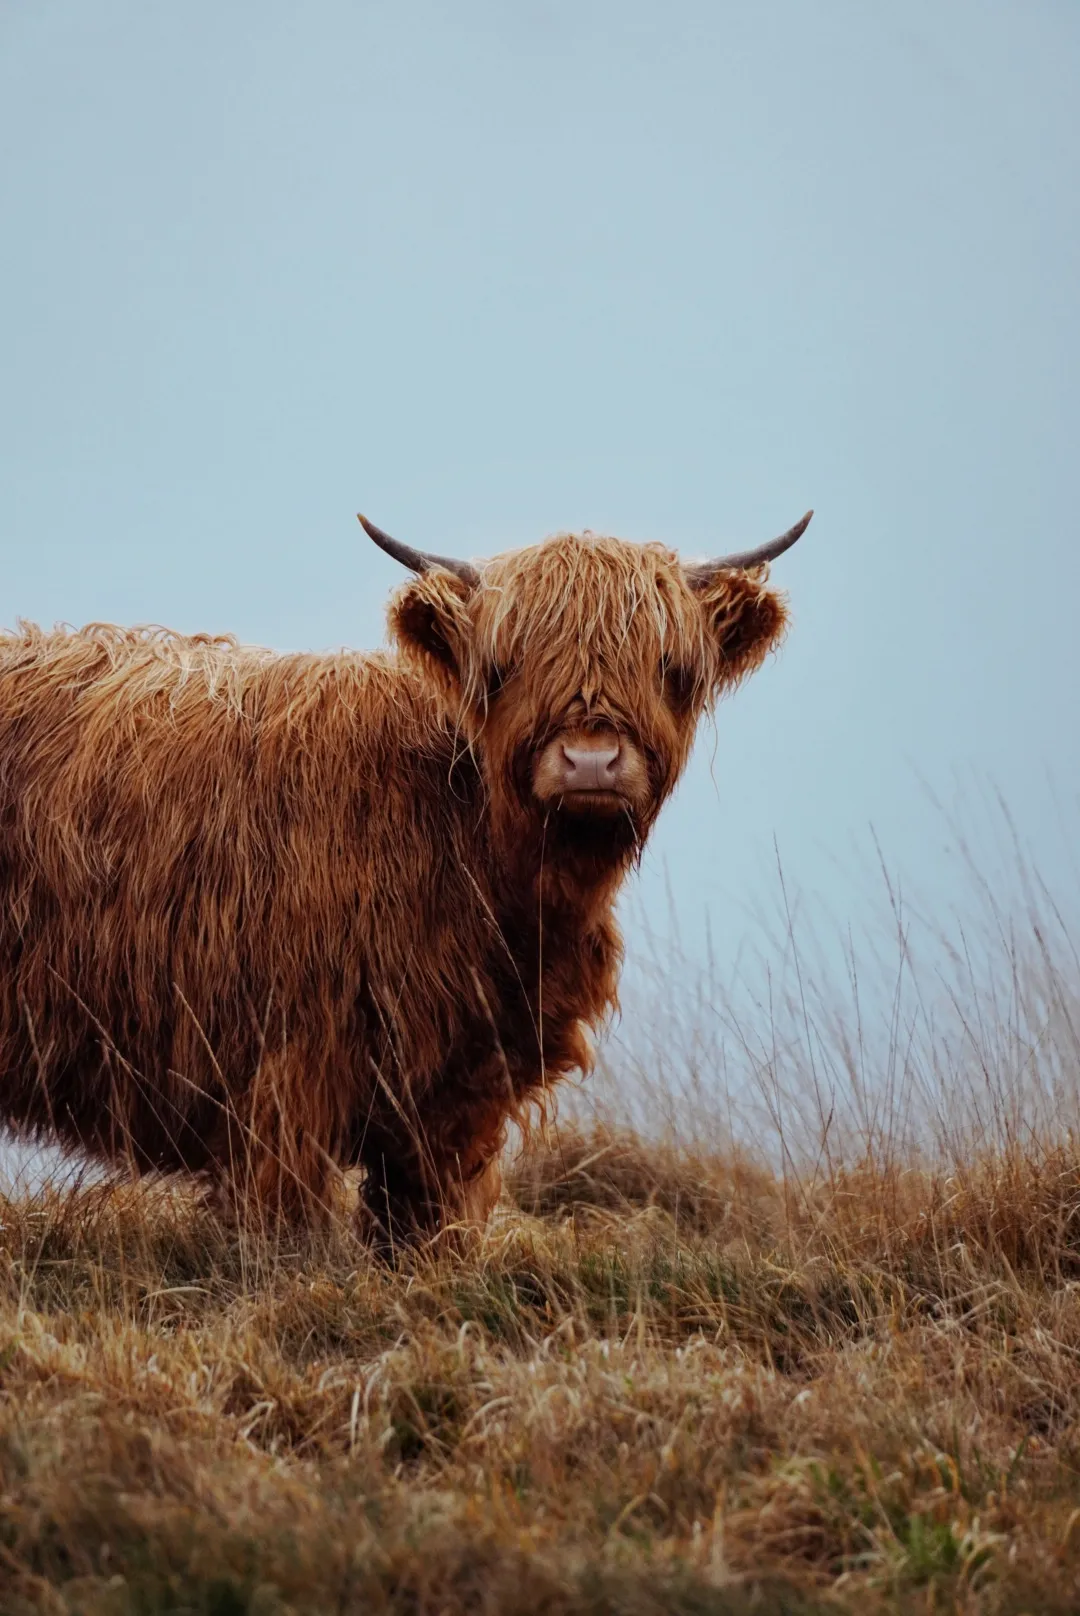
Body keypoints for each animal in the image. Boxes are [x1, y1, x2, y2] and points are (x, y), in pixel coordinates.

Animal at [0, 510, 811, 1247]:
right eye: (504, 668)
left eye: (671, 668)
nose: (590, 762)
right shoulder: (293, 1062)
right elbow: (282, 1218)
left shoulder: (462, 1085)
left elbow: (421, 1220)